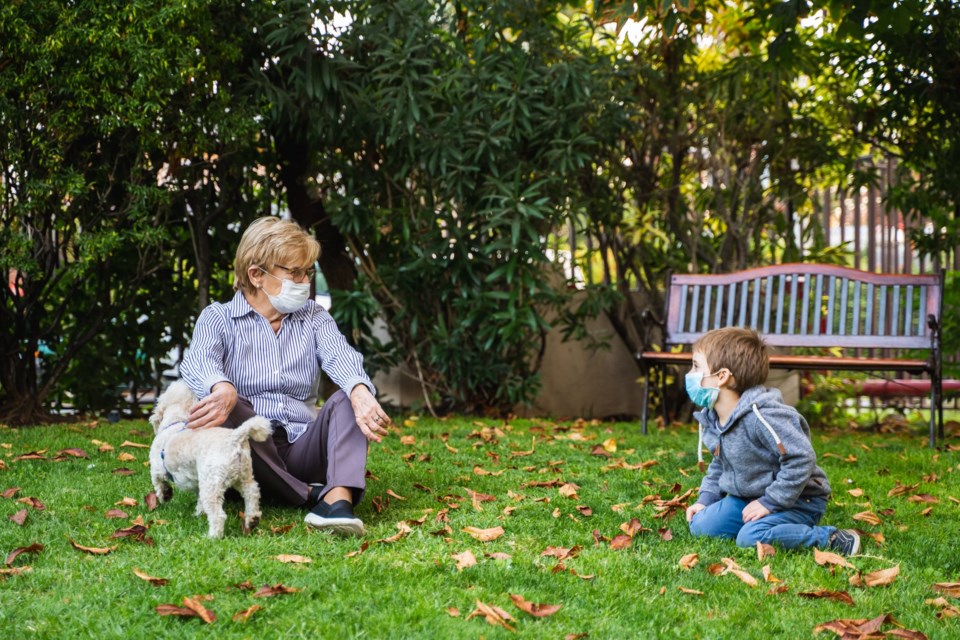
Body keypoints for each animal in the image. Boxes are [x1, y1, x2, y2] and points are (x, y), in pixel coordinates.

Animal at [148, 382, 272, 536]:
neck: (177, 420)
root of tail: (234, 438)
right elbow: (199, 501)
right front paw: (199, 514)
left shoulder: (157, 467)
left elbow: (158, 482)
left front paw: (164, 495)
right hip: (243, 475)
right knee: (252, 492)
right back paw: (252, 519)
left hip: (211, 483)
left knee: (218, 515)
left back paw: (212, 536)